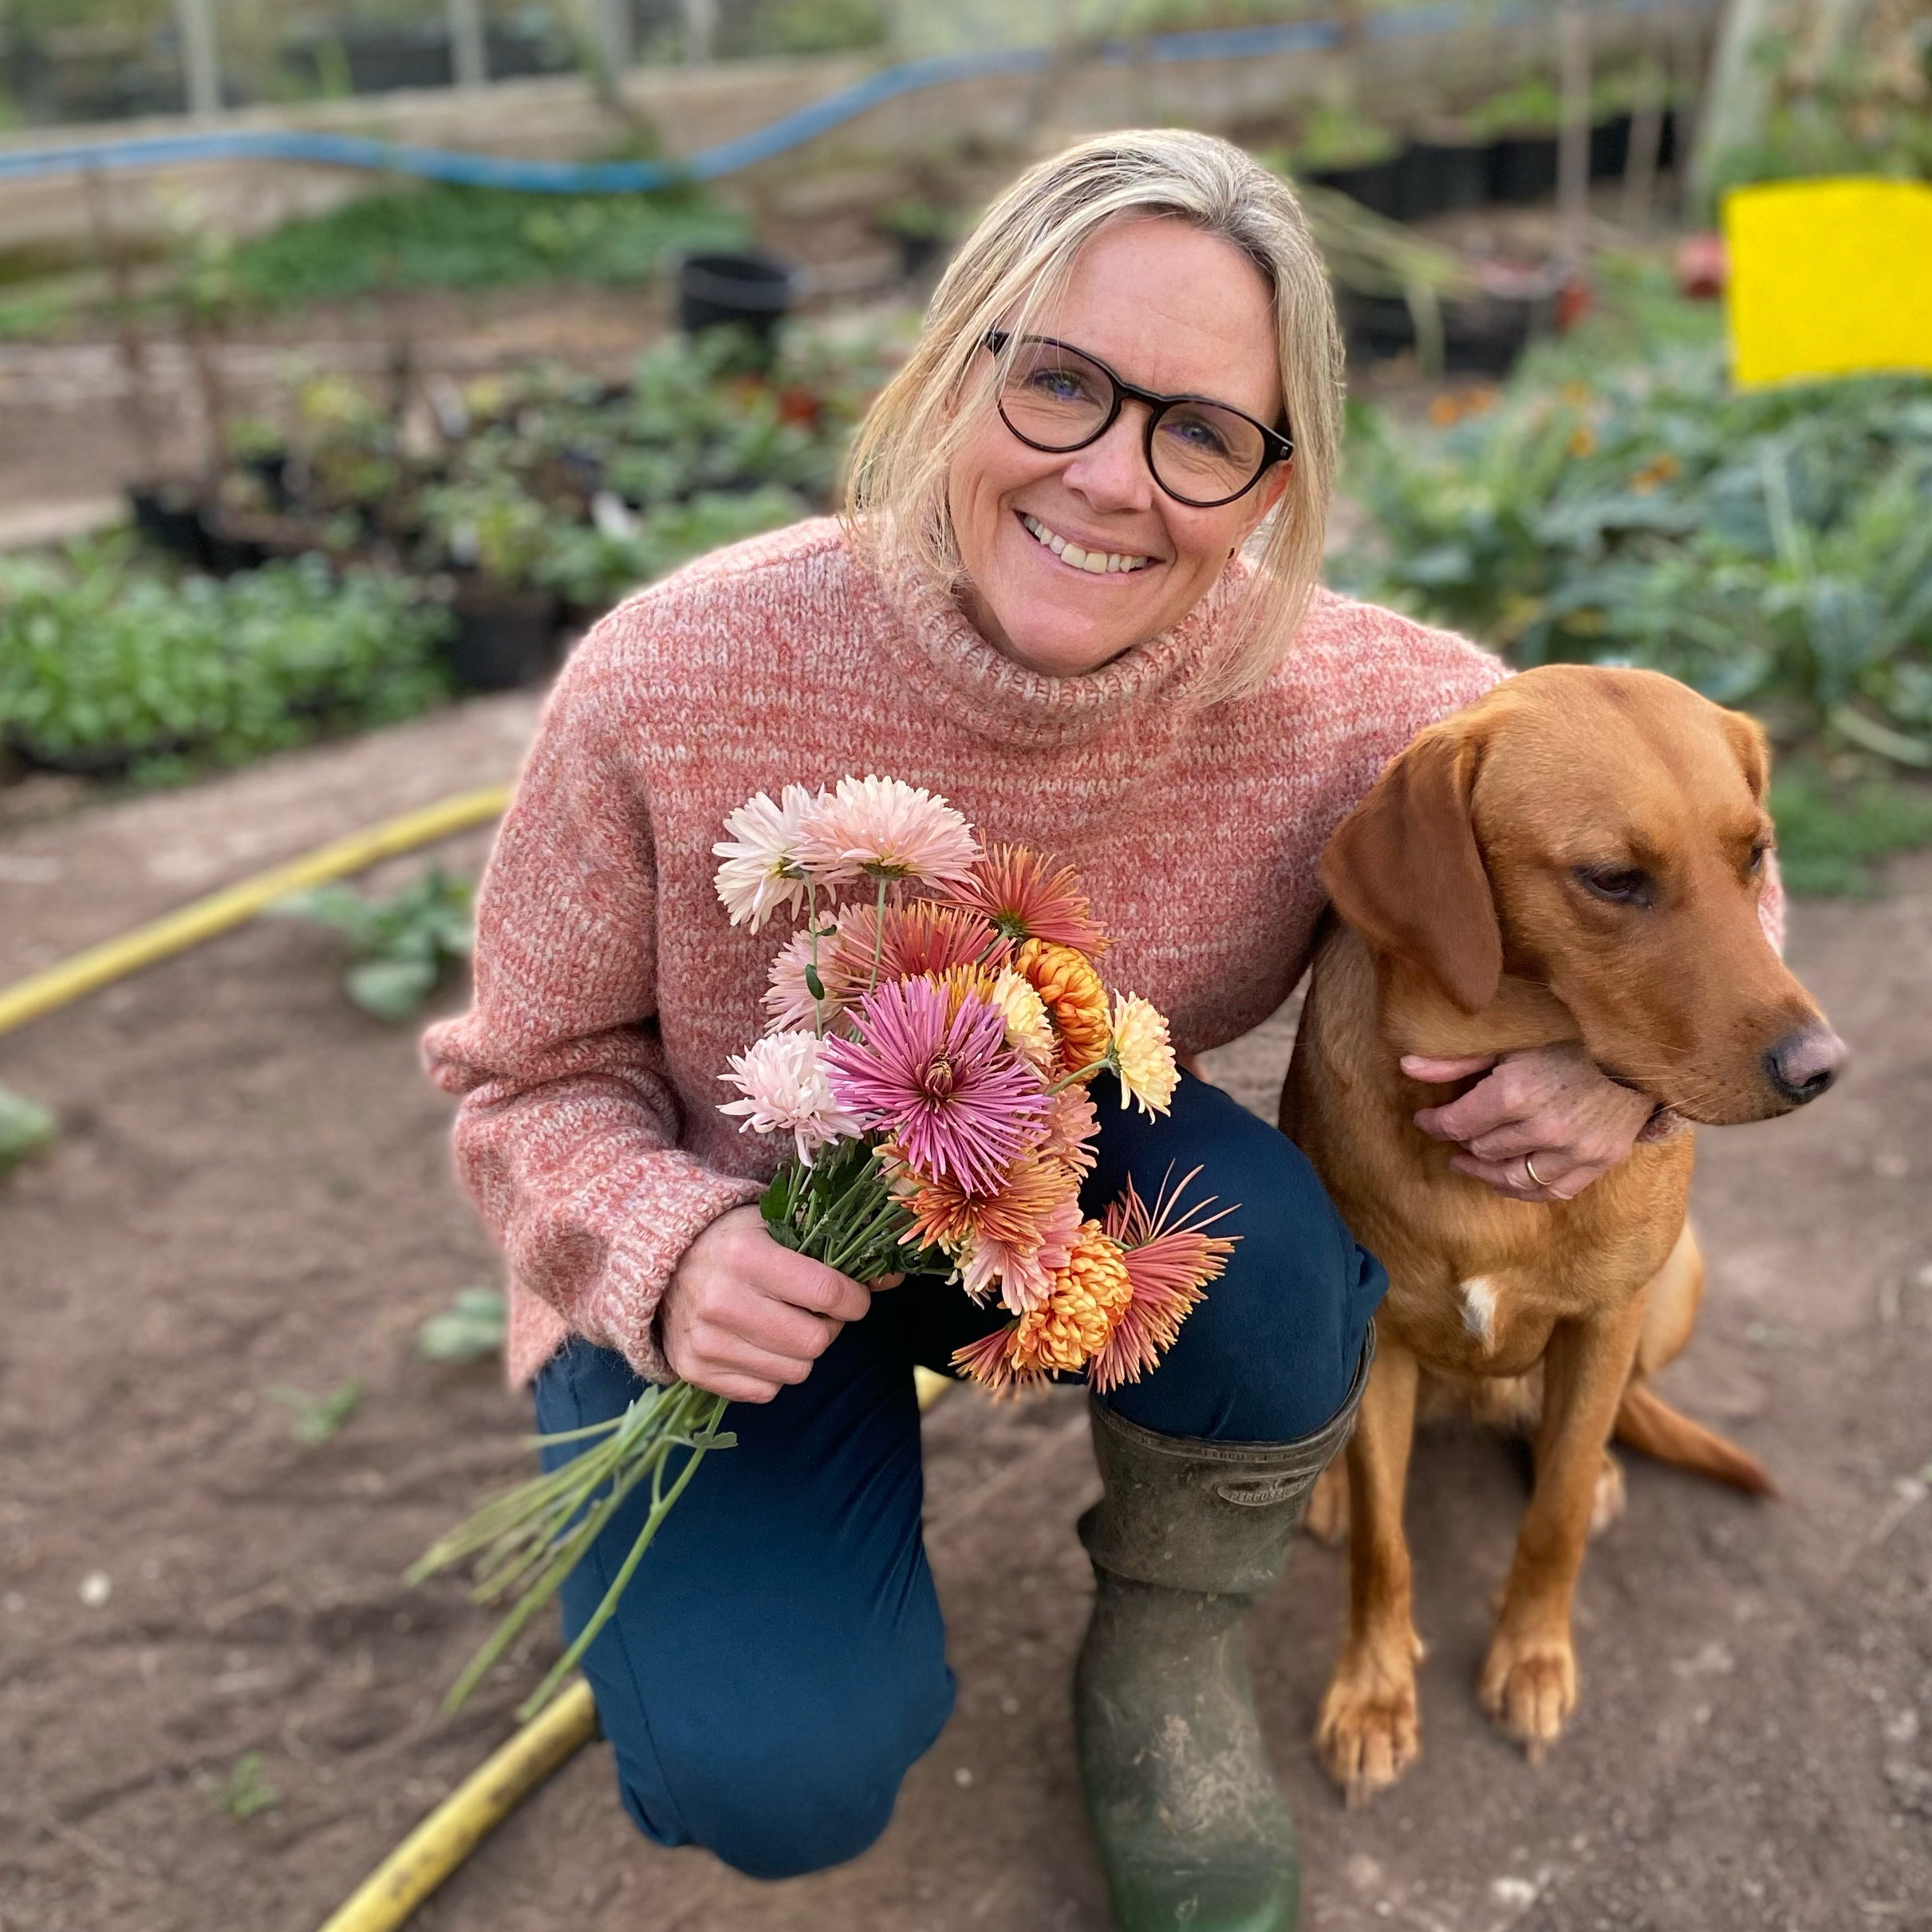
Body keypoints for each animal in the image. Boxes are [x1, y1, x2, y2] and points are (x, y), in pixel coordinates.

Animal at [1278, 664, 1844, 1806]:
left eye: (1754, 853)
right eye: (1613, 880)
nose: (1822, 1067)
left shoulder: (1605, 1321)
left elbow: (1554, 1516)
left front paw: (1531, 1659)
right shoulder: (1378, 1340)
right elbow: (1384, 1547)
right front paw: (1371, 1695)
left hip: (1677, 1285)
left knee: (1596, 1430)